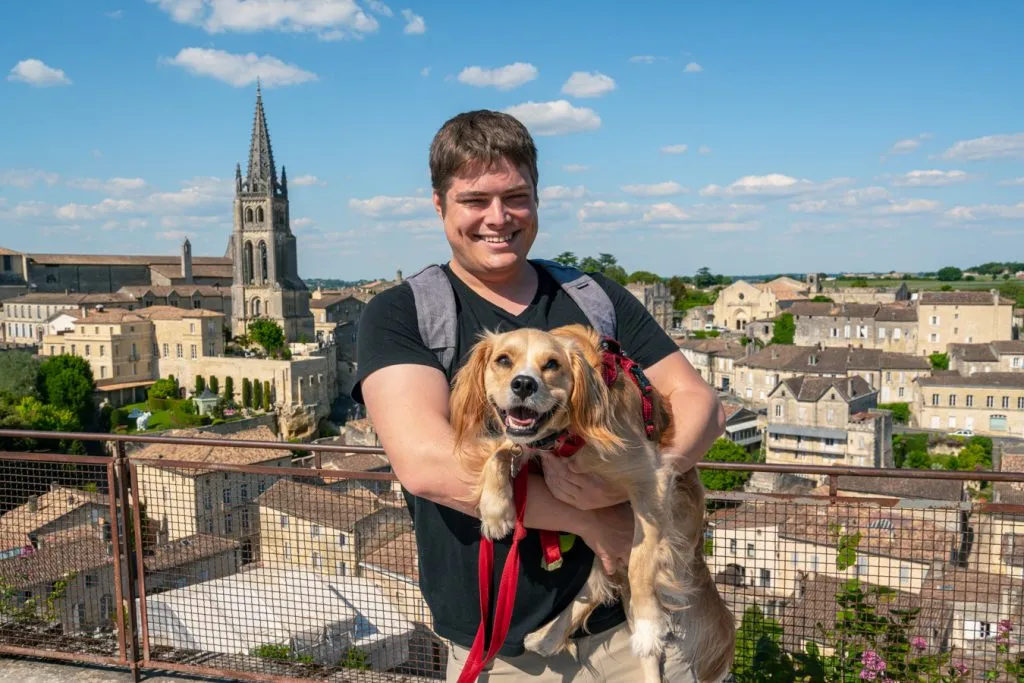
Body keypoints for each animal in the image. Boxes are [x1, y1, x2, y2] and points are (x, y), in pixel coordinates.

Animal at [450, 325, 737, 683]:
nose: (524, 384)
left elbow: (642, 562)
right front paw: (495, 510)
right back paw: (547, 637)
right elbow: (500, 452)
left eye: (552, 364)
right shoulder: (525, 443)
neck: (566, 433)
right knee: (599, 587)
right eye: (503, 360)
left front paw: (648, 627)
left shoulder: (651, 479)